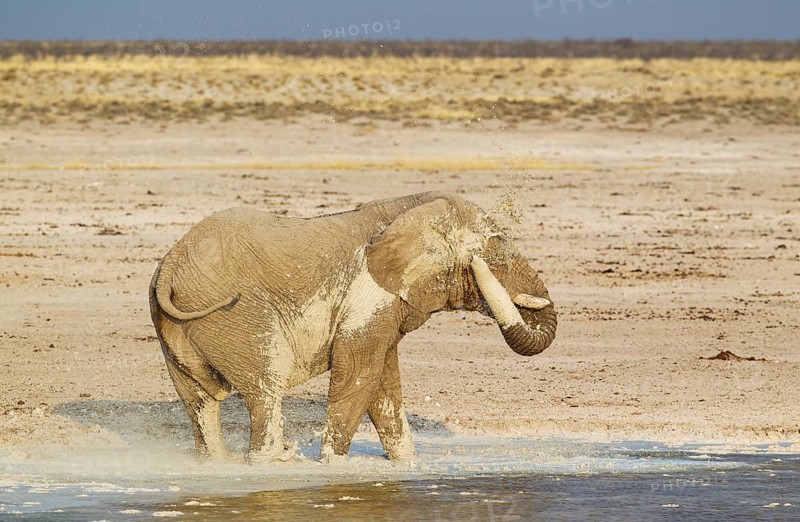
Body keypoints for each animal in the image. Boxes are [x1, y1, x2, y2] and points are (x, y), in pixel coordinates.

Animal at [149, 191, 556, 463]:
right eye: (495, 254)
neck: (411, 209)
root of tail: (170, 265)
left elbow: (382, 382)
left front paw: (406, 466)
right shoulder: (369, 294)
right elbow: (358, 374)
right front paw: (333, 467)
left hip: (175, 326)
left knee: (200, 400)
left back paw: (218, 464)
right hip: (235, 315)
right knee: (266, 387)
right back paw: (274, 461)